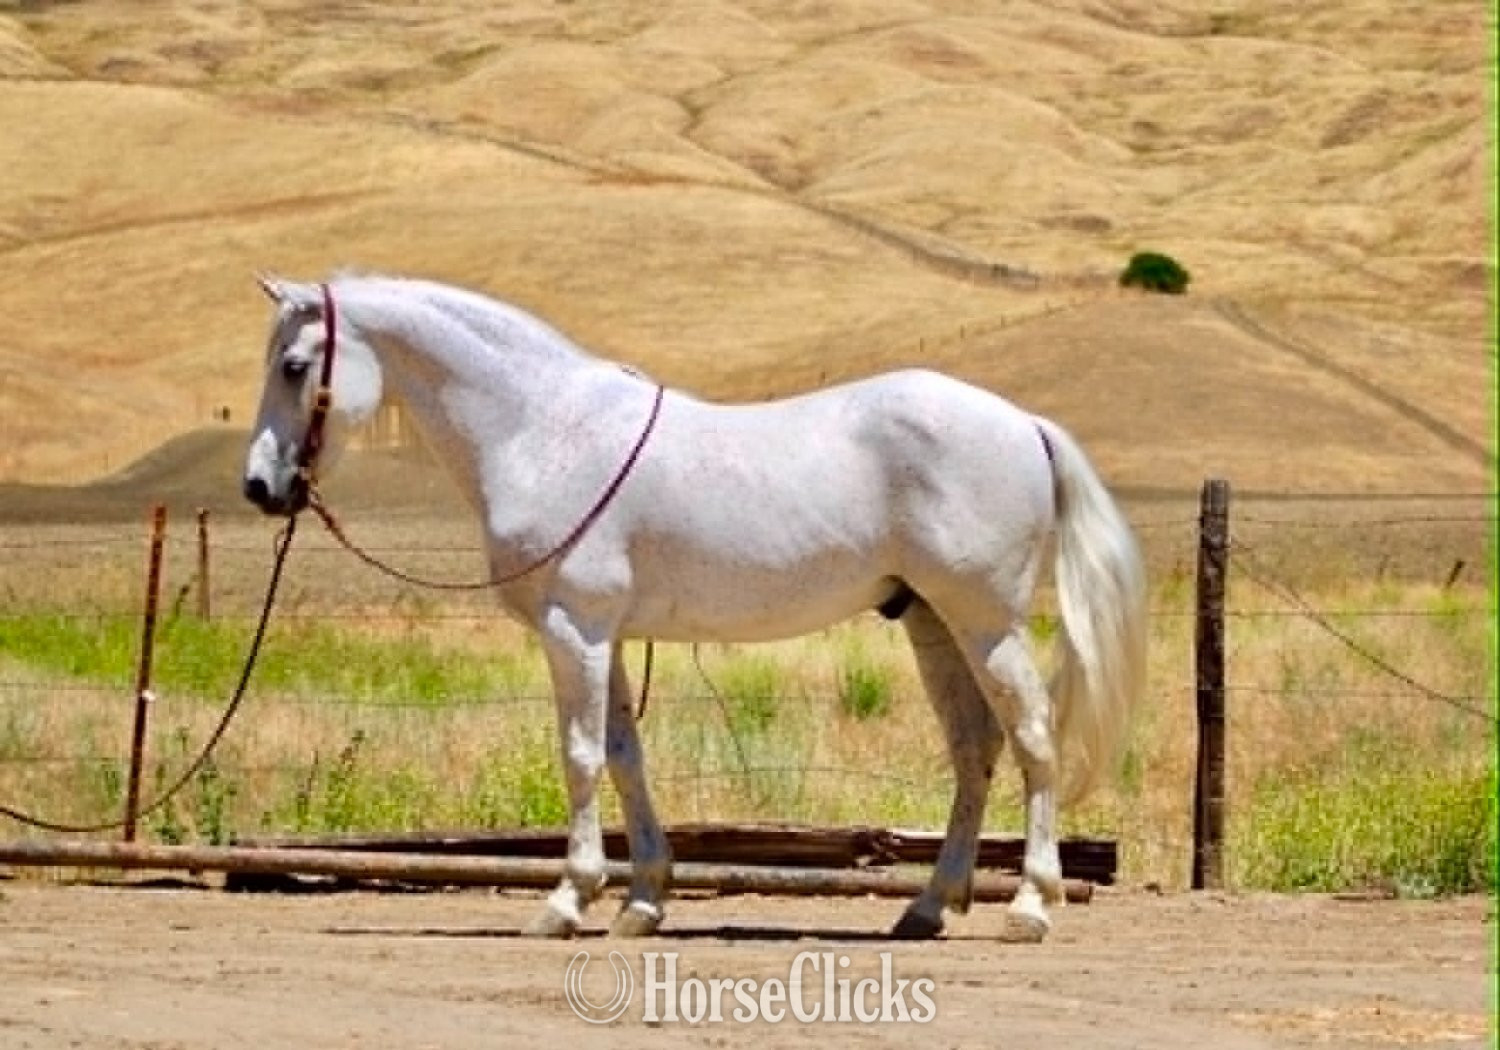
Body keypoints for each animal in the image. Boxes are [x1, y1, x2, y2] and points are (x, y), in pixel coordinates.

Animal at [242, 272, 1147, 942]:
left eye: (293, 365)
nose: (258, 488)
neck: (544, 429)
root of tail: (1023, 423)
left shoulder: (574, 628)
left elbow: (579, 757)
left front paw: (566, 902)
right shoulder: (604, 634)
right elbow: (624, 755)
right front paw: (643, 900)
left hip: (986, 622)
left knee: (1032, 739)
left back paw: (1030, 906)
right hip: (932, 622)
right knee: (975, 749)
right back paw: (926, 908)